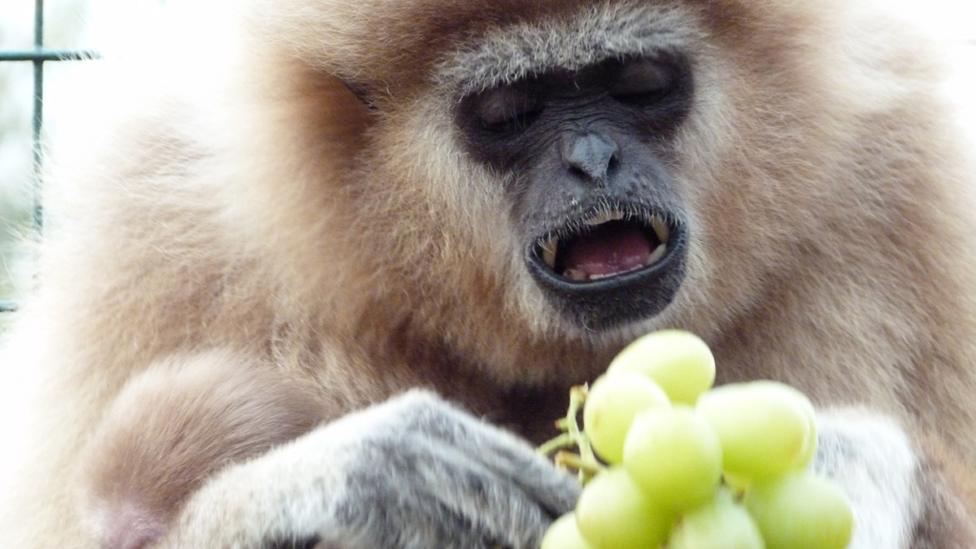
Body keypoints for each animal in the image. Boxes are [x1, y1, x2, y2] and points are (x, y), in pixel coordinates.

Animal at [1, 0, 975, 547]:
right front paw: (340, 485)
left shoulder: (920, 167)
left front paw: (847, 460)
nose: (593, 159)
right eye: (510, 111)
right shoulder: (156, 218)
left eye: (640, 81)